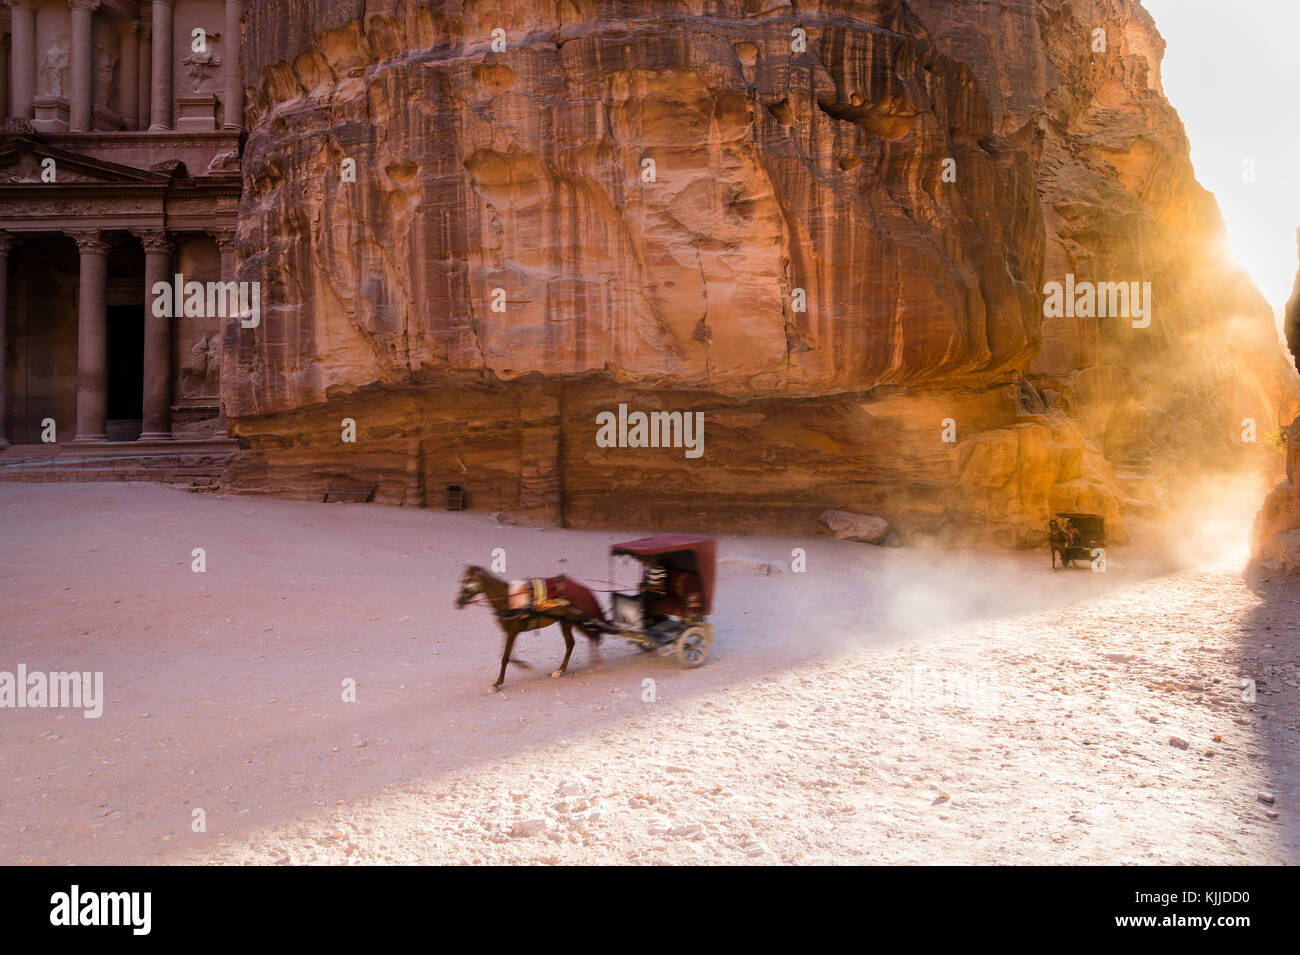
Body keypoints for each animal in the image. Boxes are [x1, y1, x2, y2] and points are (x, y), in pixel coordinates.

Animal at [454, 563, 605, 691]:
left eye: (468, 579)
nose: (458, 602)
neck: (508, 599)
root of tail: (583, 589)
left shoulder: (513, 632)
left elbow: (505, 657)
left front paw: (498, 683)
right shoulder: (509, 631)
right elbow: (508, 655)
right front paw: (524, 666)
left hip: (577, 619)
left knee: (593, 636)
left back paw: (596, 661)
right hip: (566, 621)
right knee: (572, 642)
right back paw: (561, 669)